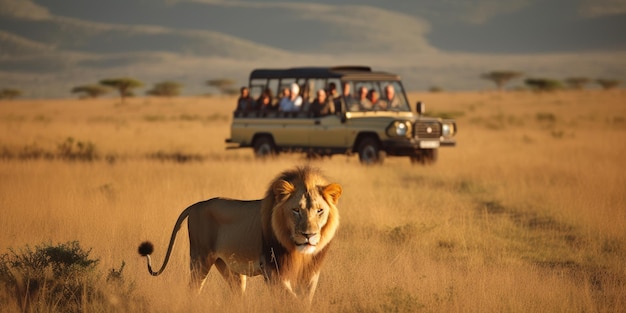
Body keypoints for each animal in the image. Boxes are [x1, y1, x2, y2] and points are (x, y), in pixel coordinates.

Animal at [137, 165, 342, 302]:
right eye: (296, 210)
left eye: (319, 211)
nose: (309, 235)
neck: (294, 248)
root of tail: (196, 205)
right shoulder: (271, 269)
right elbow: (289, 299)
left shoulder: (311, 272)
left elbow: (304, 299)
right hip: (200, 259)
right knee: (193, 289)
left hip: (228, 267)